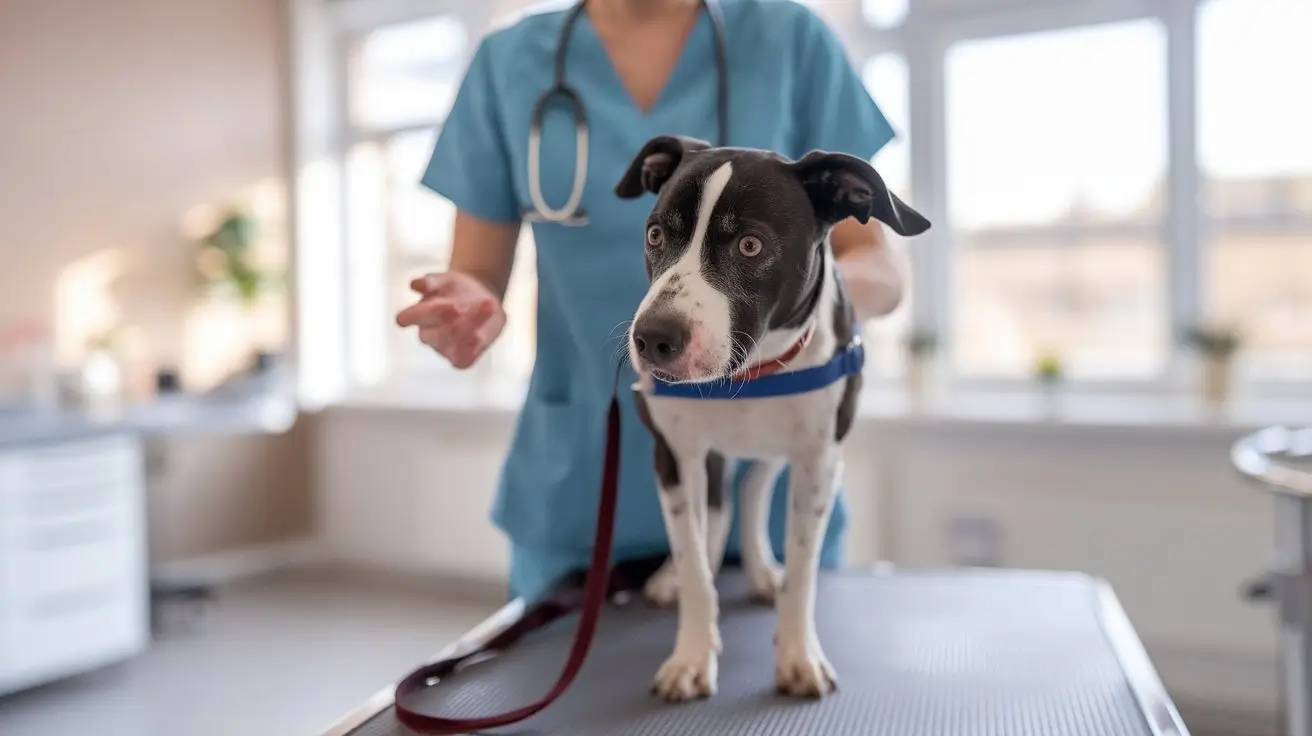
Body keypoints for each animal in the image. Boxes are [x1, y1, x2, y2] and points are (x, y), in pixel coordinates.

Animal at [614, 135, 934, 703]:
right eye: (656, 234)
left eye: (750, 246)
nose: (652, 338)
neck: (755, 370)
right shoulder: (675, 453)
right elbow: (695, 565)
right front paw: (691, 655)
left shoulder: (819, 462)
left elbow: (803, 571)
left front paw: (798, 656)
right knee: (715, 510)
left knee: (751, 487)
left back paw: (763, 572)